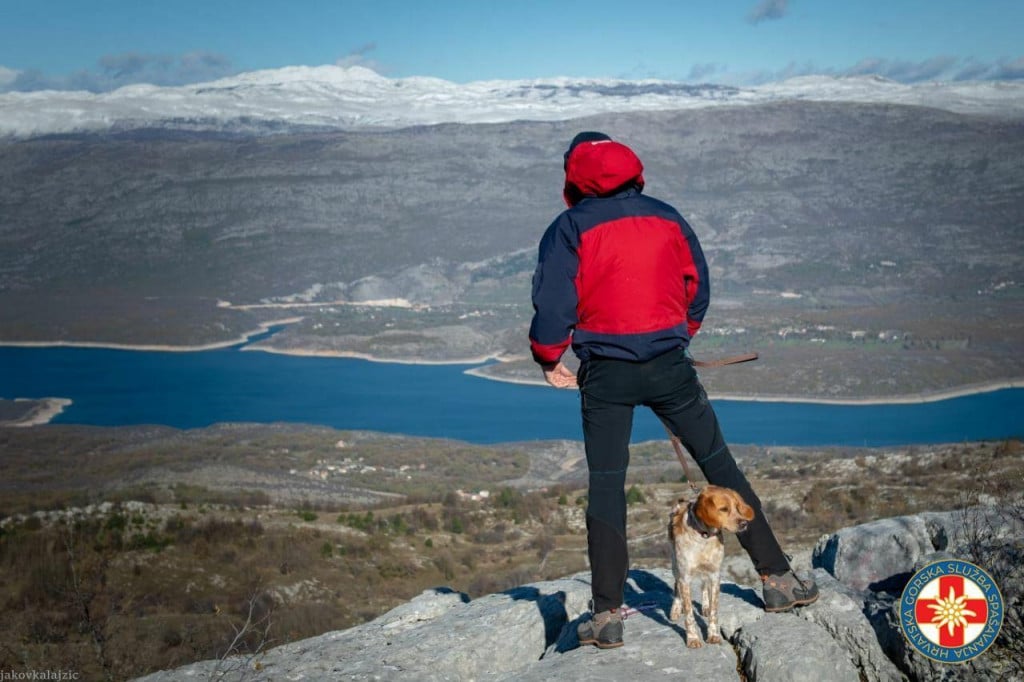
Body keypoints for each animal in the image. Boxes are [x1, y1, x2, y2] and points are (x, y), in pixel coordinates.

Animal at [667, 481, 757, 647]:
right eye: (724, 509)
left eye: (737, 507)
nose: (744, 523)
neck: (704, 536)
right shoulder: (685, 577)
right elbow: (689, 613)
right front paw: (693, 638)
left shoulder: (715, 575)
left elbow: (714, 611)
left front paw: (713, 635)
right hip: (675, 566)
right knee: (676, 587)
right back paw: (676, 608)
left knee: (704, 586)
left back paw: (705, 606)